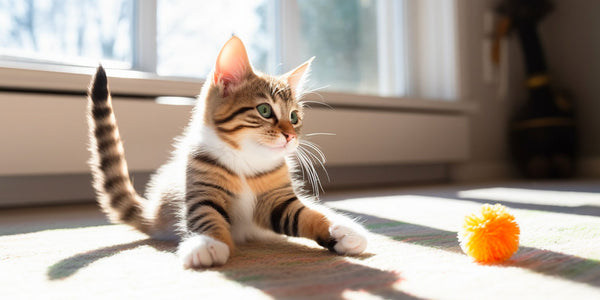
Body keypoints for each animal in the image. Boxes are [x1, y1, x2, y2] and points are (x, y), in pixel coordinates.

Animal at [88, 36, 368, 268]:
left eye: (294, 117)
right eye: (265, 110)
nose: (290, 136)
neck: (247, 159)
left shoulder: (276, 199)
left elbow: (305, 214)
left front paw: (340, 230)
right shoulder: (202, 187)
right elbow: (206, 214)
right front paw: (208, 243)